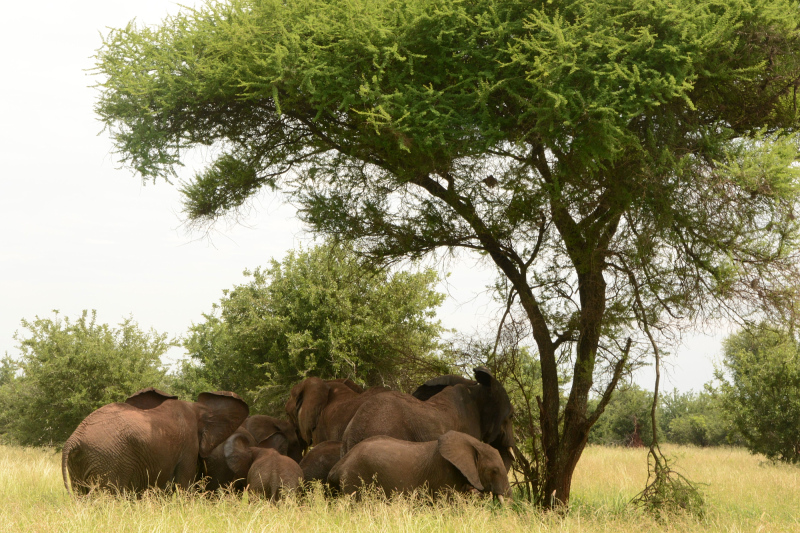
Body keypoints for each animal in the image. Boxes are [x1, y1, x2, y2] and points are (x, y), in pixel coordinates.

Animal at [62, 386, 248, 494]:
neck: (196, 409)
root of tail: (75, 437)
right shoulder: (188, 446)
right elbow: (184, 484)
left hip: (82, 461)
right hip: (107, 459)